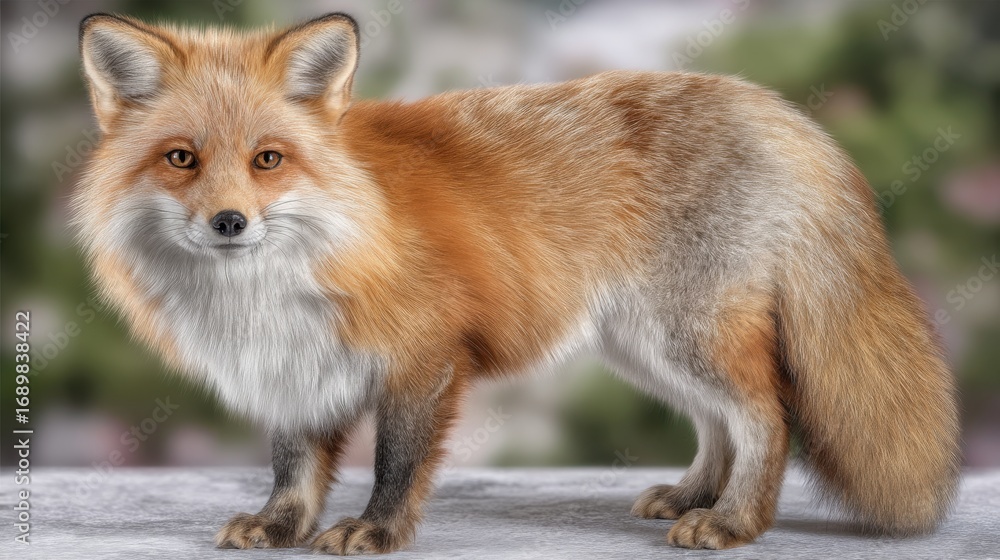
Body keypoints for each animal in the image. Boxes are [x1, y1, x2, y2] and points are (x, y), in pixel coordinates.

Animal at [73, 11, 960, 554]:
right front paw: (279, 525)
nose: (230, 222)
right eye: (182, 158)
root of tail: (780, 109)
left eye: (268, 159)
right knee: (721, 423)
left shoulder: (424, 356)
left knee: (767, 415)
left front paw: (376, 532)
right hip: (647, 346)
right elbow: (294, 468)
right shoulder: (298, 365)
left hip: (684, 332)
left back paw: (736, 521)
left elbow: (395, 463)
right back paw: (694, 498)